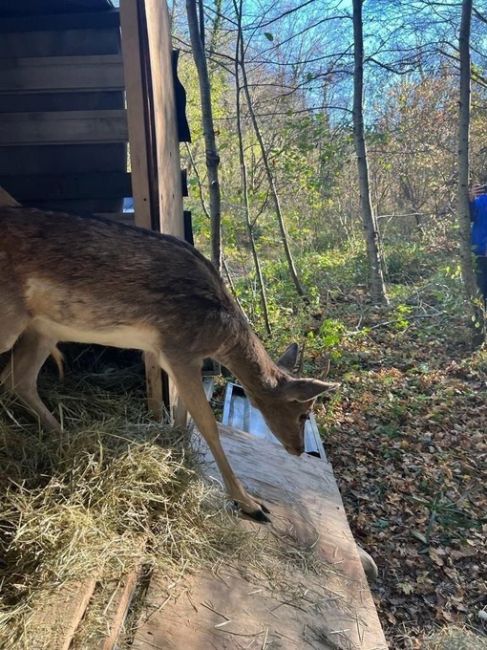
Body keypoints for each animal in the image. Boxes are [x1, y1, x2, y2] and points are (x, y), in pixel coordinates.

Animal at [0, 208, 336, 520]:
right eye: (305, 412)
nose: (297, 449)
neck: (220, 337)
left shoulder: (170, 355)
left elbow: (183, 414)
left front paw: (178, 454)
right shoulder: (180, 347)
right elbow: (207, 424)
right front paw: (251, 504)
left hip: (44, 329)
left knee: (17, 379)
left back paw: (69, 439)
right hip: (12, 321)